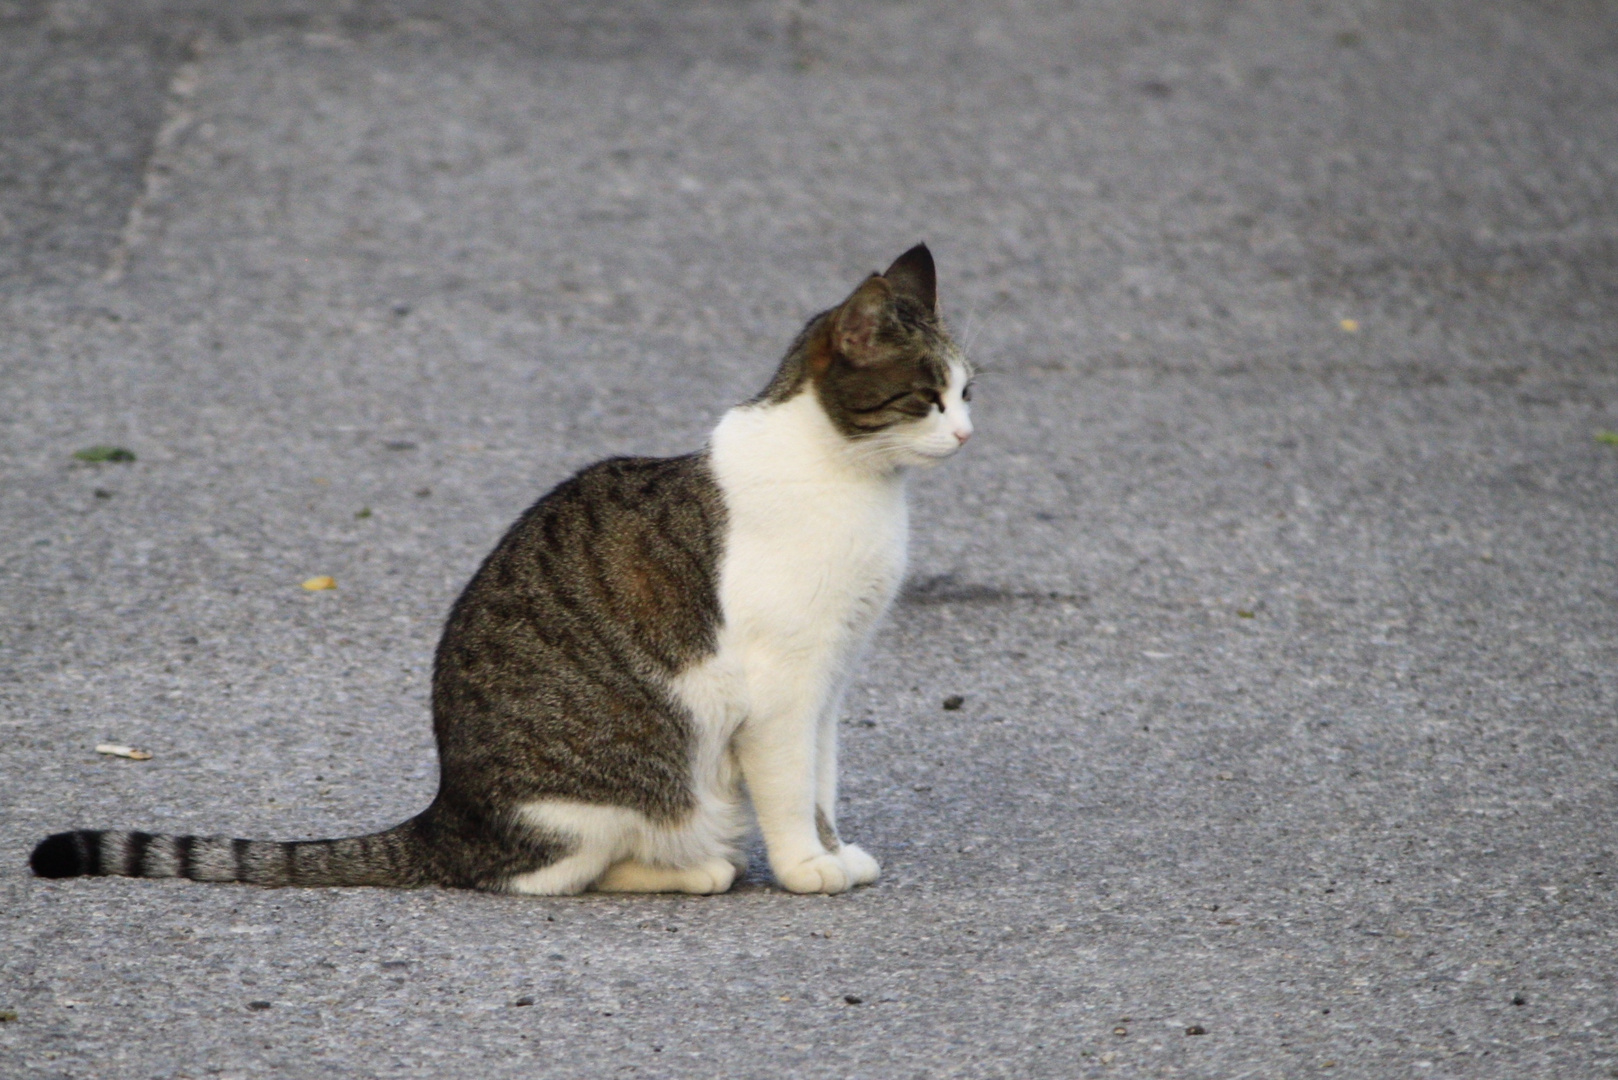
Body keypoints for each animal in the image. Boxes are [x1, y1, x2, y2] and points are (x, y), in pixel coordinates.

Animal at [28, 244, 970, 893]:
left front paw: (835, 849)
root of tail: (446, 815)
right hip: (611, 794)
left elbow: (823, 782)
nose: (967, 434)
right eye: (928, 397)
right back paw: (698, 869)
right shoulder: (783, 689)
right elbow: (789, 790)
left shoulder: (831, 682)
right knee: (547, 873)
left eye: (969, 391)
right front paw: (808, 867)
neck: (853, 478)